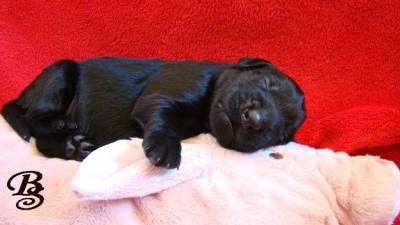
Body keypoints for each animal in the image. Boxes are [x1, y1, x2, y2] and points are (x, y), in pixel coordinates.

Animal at [0, 57, 306, 168]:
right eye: (267, 83)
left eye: (280, 134)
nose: (256, 122)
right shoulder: (159, 96)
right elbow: (164, 118)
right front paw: (165, 148)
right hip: (61, 71)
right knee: (34, 122)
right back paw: (61, 128)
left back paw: (73, 147)